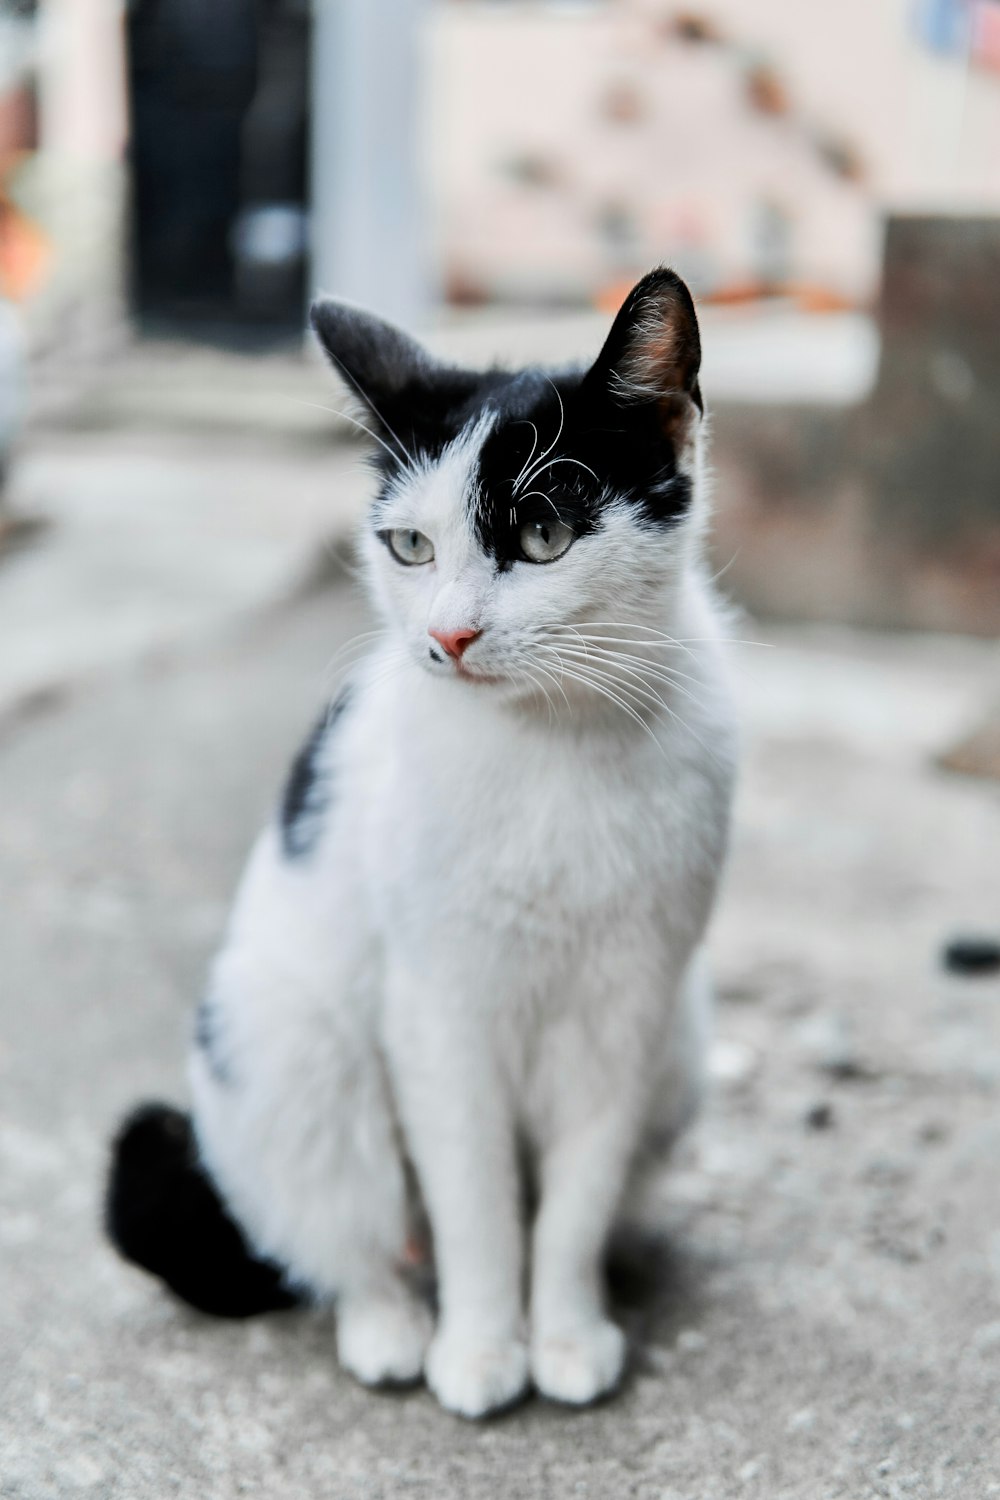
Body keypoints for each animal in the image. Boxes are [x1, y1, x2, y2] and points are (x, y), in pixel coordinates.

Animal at [107, 270, 734, 1416]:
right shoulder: (437, 1007)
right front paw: (483, 1350)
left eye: (543, 536)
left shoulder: (629, 1005)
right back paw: (392, 1326)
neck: (552, 743)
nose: (446, 636)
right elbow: (475, 1200)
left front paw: (564, 1330)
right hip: (287, 1039)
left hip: (682, 1042)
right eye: (410, 547)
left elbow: (573, 1197)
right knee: (350, 1239)